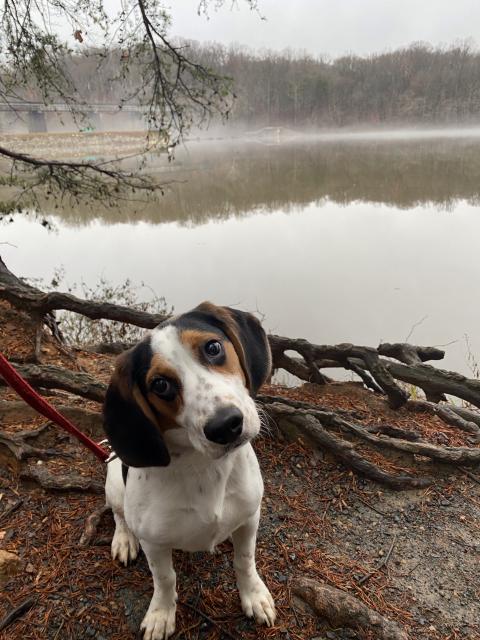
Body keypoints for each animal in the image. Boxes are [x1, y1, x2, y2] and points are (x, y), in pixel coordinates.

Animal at [104, 302, 278, 636]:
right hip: (114, 486)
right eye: (160, 384)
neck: (204, 466)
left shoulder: (251, 516)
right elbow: (165, 579)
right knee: (119, 516)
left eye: (213, 347)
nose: (225, 426)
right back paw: (123, 539)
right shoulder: (154, 543)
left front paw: (253, 596)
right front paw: (161, 615)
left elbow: (244, 560)